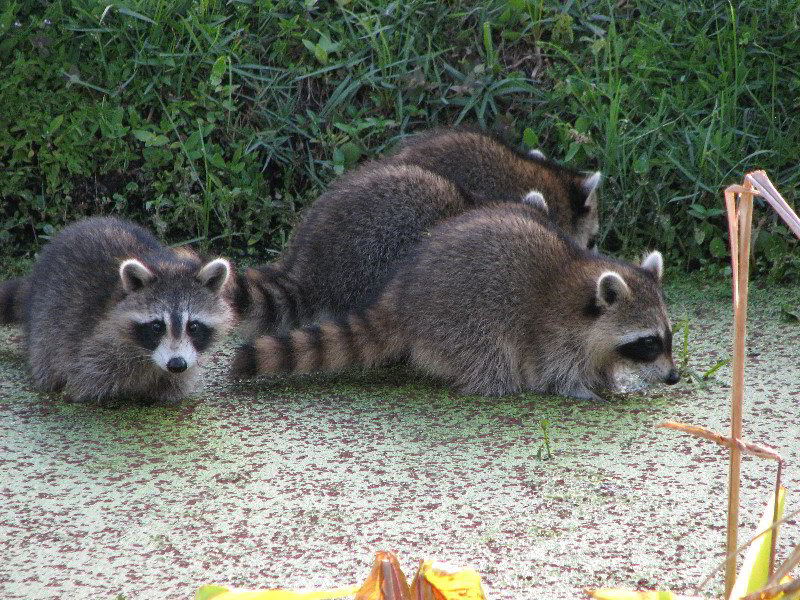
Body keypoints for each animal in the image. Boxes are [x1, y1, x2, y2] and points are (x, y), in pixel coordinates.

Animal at [0, 216, 238, 404]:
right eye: (157, 327)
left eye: (193, 326)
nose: (176, 364)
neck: (148, 358)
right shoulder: (89, 351)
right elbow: (81, 384)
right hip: (46, 319)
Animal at [233, 204, 680, 400]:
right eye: (649, 342)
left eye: (668, 337)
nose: (674, 377)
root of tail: (400, 297)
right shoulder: (552, 331)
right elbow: (555, 370)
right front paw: (578, 390)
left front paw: (609, 380)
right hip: (459, 317)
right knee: (490, 356)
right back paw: (497, 387)